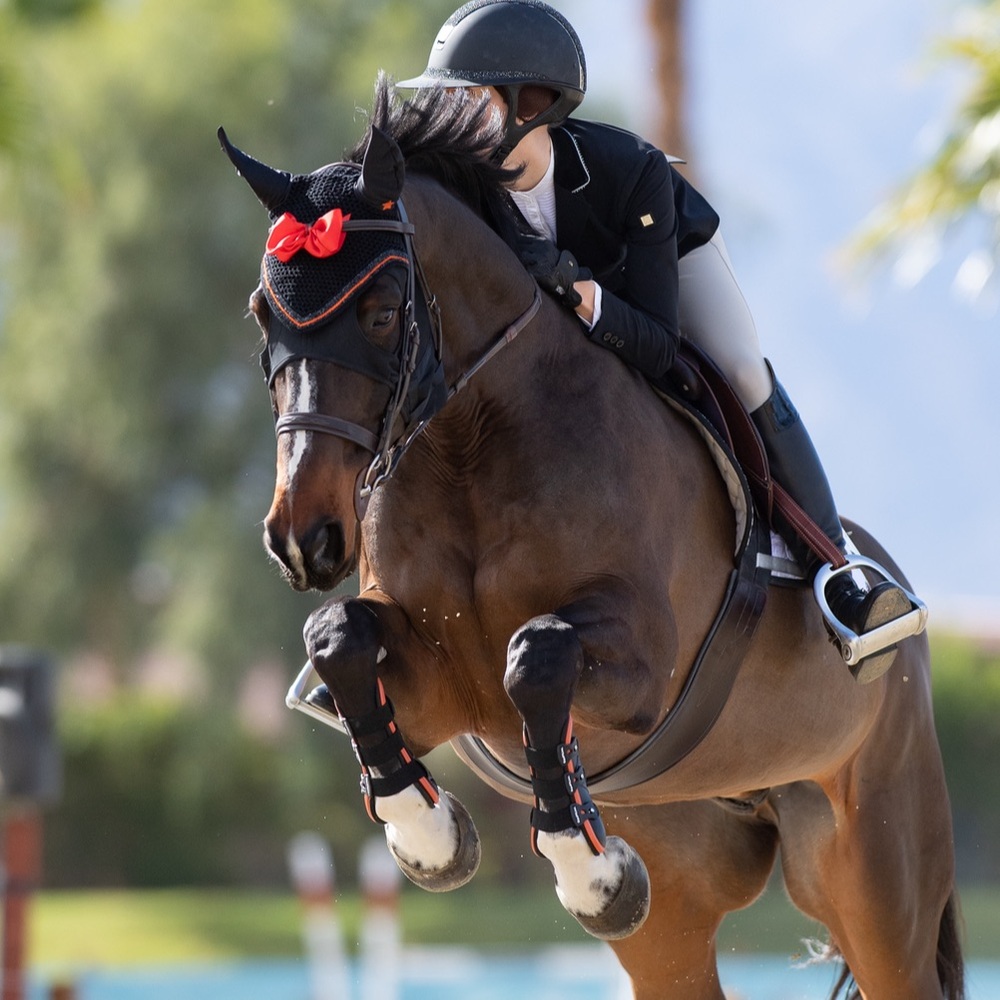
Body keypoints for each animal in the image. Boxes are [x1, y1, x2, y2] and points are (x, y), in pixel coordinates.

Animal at [220, 80, 964, 999]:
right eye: (262, 313)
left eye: (384, 311)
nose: (305, 538)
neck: (470, 441)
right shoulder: (435, 694)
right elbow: (339, 639)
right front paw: (430, 838)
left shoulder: (641, 668)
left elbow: (537, 654)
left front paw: (588, 873)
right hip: (680, 891)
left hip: (877, 873)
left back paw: (863, 606)